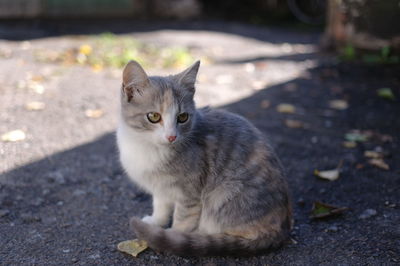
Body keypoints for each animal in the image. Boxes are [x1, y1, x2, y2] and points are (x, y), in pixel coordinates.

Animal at [117, 59, 292, 256]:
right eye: (153, 116)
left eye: (182, 117)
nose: (172, 136)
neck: (147, 147)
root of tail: (282, 229)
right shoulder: (160, 187)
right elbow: (161, 205)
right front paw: (156, 222)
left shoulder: (190, 194)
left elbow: (183, 220)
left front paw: (173, 235)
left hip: (225, 194)